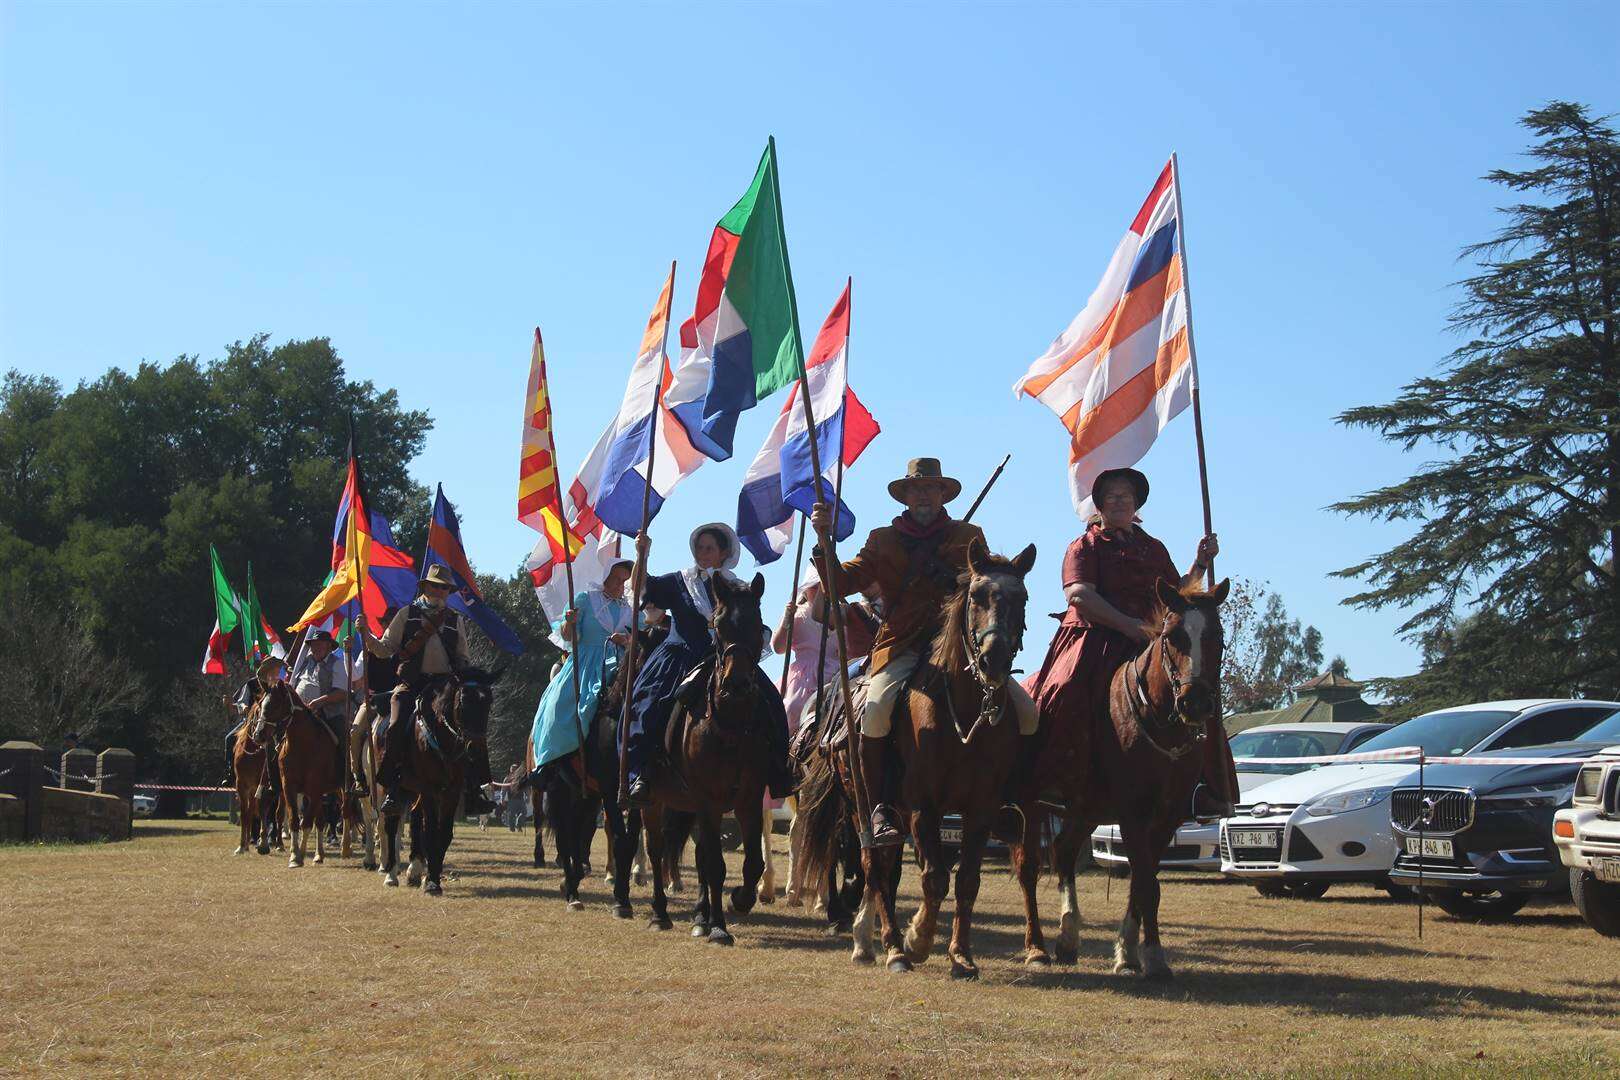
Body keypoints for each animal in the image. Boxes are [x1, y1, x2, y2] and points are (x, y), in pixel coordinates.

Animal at [615, 569, 774, 939]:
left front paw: (738, 900)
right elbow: (714, 863)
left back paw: (701, 914)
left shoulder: (748, 797)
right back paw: (661, 913)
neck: (730, 724)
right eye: (718, 624)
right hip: (655, 801)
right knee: (656, 850)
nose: (736, 684)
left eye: (757, 623)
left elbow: (751, 862)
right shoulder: (706, 799)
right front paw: (719, 927)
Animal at [797, 540, 1036, 977]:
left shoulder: (980, 808)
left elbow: (966, 881)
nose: (993, 660)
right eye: (977, 596)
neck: (964, 711)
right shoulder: (923, 807)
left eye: (1022, 598)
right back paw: (887, 947)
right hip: (862, 807)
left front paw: (961, 955)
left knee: (886, 865)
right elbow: (934, 877)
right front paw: (917, 939)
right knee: (873, 864)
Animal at [1010, 579, 1224, 984]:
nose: (1195, 703)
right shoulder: (1133, 815)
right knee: (1028, 866)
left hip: (1084, 809)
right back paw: (1036, 949)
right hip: (1032, 804)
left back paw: (1067, 937)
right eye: (1172, 636)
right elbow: (1146, 884)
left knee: (1063, 851)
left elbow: (1143, 882)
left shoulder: (1166, 818)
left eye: (1217, 636)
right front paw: (1148, 957)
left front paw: (1132, 953)